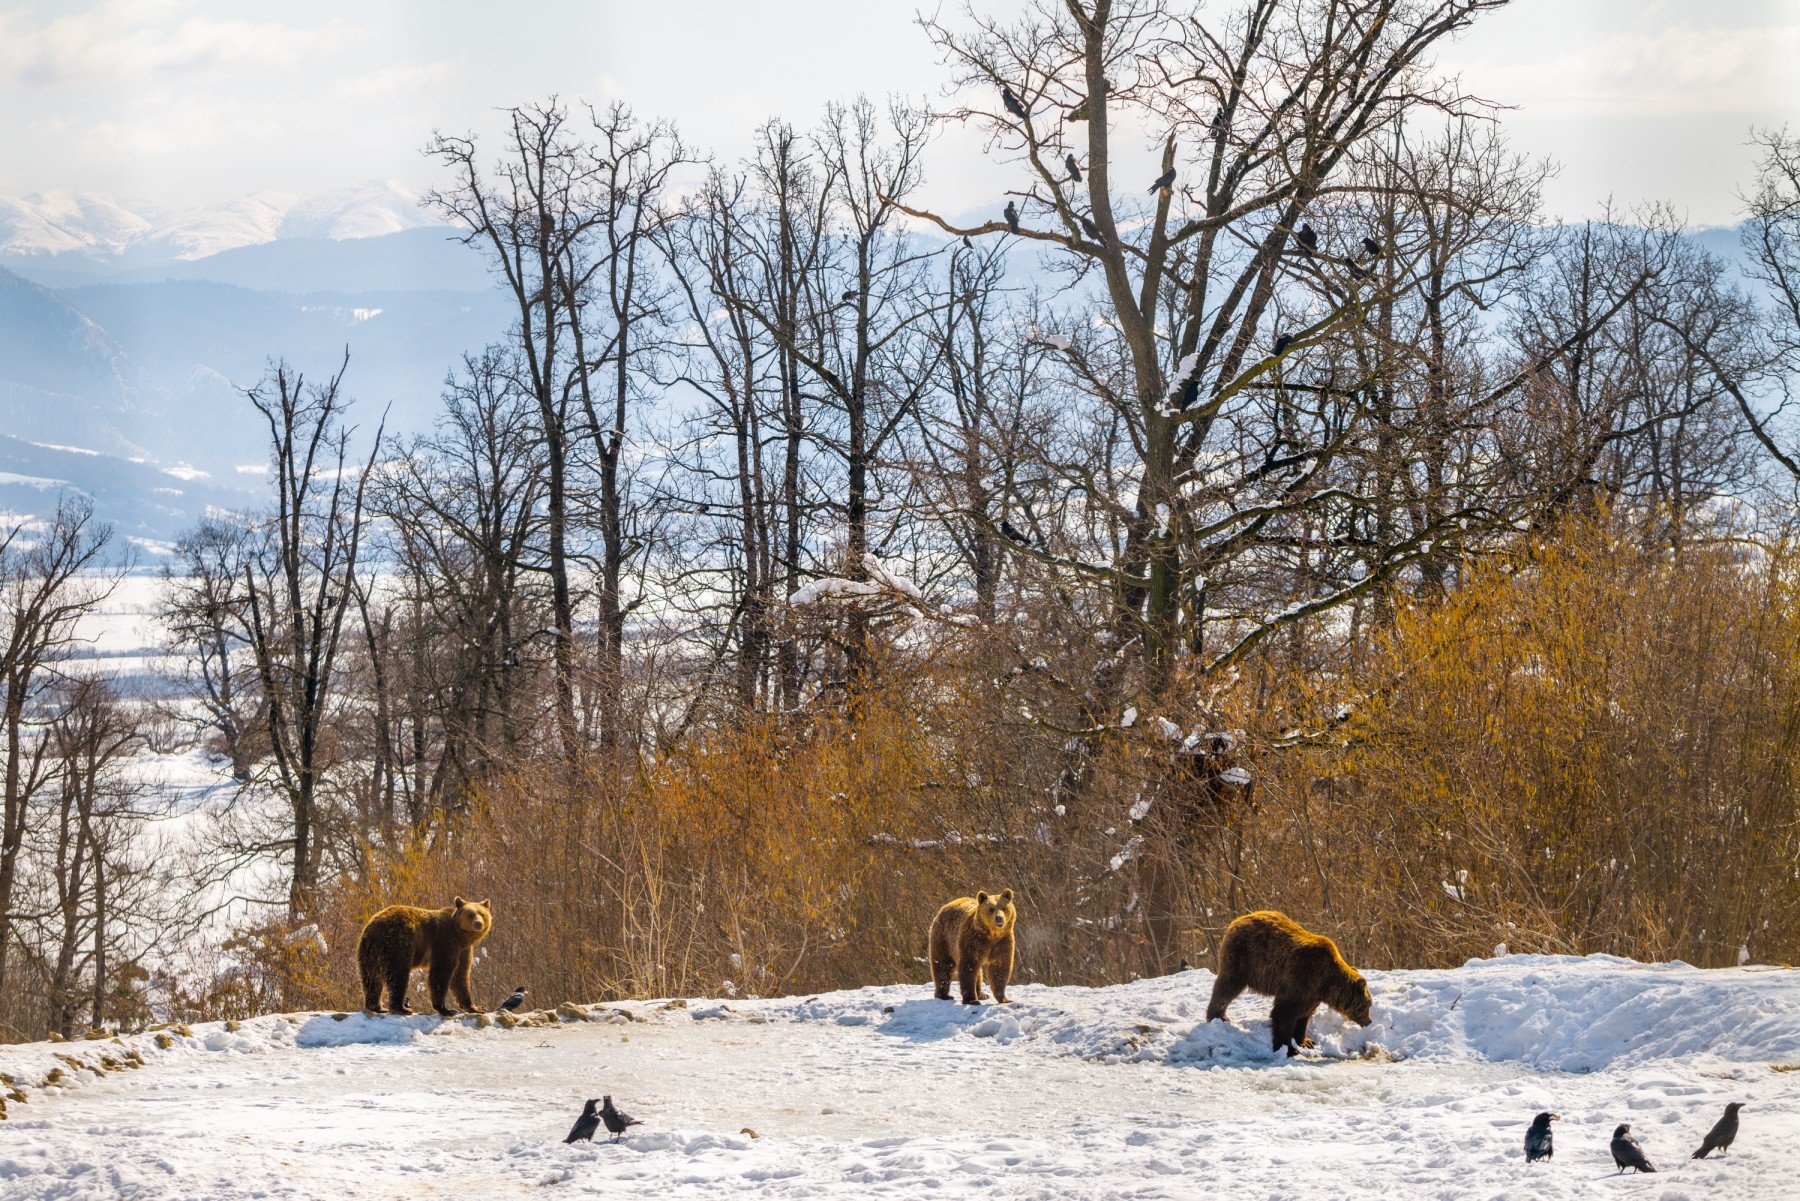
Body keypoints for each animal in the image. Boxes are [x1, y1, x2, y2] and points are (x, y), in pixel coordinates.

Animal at [356, 896, 493, 1022]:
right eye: (470, 914)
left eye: (482, 914)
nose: (478, 923)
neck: (461, 936)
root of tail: (375, 926)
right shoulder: (445, 942)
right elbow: (441, 972)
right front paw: (447, 1009)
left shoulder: (463, 950)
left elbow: (461, 975)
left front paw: (476, 1007)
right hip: (398, 943)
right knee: (397, 975)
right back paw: (402, 1008)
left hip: (369, 953)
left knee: (371, 978)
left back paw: (377, 1006)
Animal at [1209, 911, 1375, 1051]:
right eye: (1367, 1004)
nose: (1369, 1022)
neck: (1326, 984)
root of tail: (1237, 920)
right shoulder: (1300, 979)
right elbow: (1284, 1013)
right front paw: (1288, 1048)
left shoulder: (1312, 994)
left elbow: (1304, 1015)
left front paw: (1306, 1041)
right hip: (1243, 960)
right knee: (1226, 988)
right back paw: (1218, 1016)